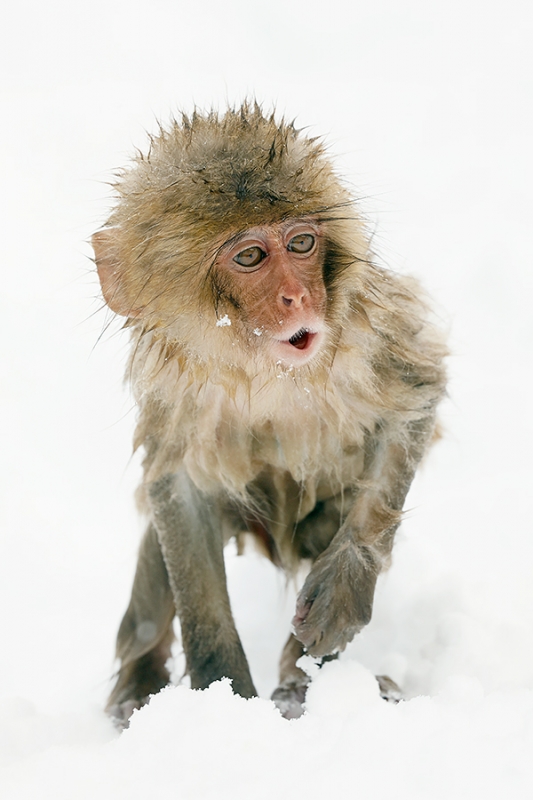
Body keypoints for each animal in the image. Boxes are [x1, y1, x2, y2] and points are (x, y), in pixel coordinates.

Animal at [92, 101, 444, 724]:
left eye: (301, 243)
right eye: (251, 256)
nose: (298, 298)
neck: (267, 373)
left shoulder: (370, 333)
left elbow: (416, 398)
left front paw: (344, 588)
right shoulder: (175, 394)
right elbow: (178, 488)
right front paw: (223, 697)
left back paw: (307, 683)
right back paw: (137, 684)